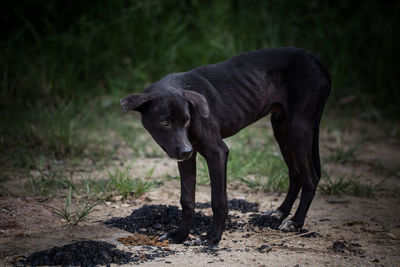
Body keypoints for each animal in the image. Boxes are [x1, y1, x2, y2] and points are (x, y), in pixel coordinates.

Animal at [120, 48, 330, 247]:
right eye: (165, 123)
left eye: (186, 121)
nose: (186, 151)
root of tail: (316, 58)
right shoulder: (187, 159)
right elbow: (187, 200)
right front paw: (180, 235)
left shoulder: (217, 153)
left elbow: (218, 201)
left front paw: (212, 237)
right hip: (281, 129)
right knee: (295, 174)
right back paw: (280, 212)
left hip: (298, 129)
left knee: (310, 177)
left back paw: (296, 221)